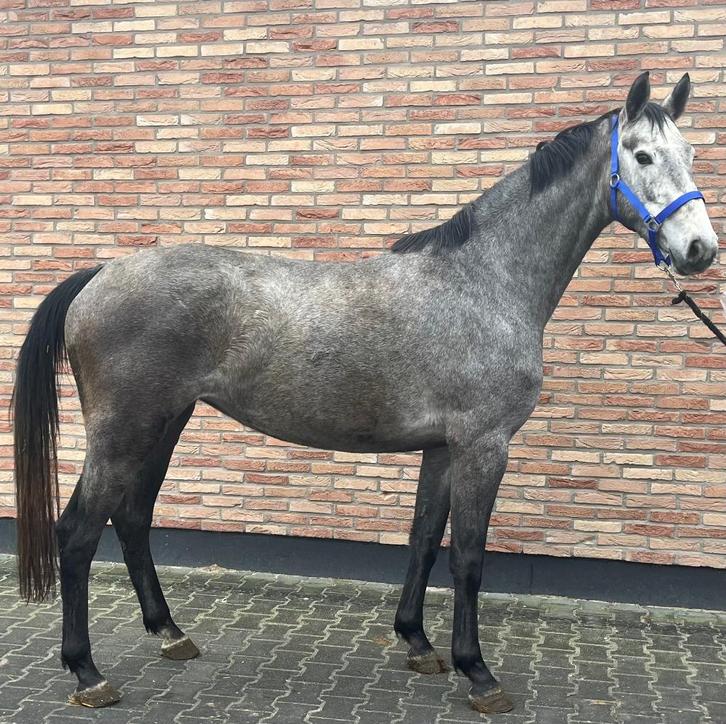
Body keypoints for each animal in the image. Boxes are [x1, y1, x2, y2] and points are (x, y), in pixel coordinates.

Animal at [12, 72, 718, 714]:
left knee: (131, 517)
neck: (482, 281)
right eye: (642, 155)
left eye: (690, 154)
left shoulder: (443, 447)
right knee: (78, 531)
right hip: (125, 431)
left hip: (164, 423)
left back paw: (170, 634)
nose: (699, 250)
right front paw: (478, 672)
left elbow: (423, 537)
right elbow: (468, 555)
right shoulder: (483, 445)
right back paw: (87, 672)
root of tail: (99, 275)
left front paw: (417, 642)